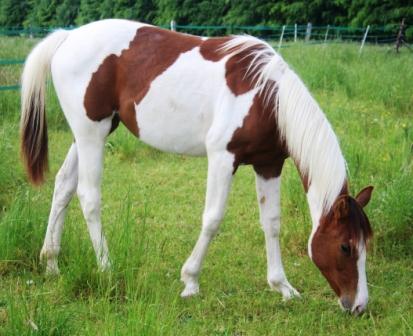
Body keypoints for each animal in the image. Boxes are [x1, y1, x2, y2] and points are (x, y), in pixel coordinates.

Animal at [20, 19, 374, 316]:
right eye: (345, 246)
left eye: (365, 244)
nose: (358, 306)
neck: (266, 96)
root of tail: (67, 37)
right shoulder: (222, 157)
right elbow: (212, 219)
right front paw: (190, 281)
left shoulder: (268, 164)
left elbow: (272, 222)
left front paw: (282, 286)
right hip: (91, 132)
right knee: (89, 196)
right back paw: (106, 267)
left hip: (93, 132)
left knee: (63, 185)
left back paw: (50, 262)